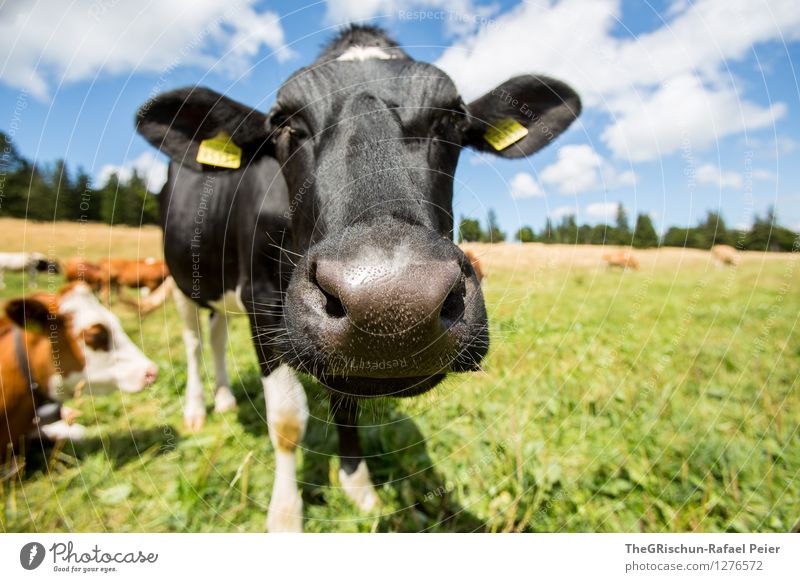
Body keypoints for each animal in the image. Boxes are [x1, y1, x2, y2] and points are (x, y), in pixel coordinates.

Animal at [134, 25, 580, 532]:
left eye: (452, 120)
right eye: (284, 123)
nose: (393, 304)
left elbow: (345, 403)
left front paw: (358, 484)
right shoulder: (262, 301)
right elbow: (286, 421)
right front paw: (285, 515)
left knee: (217, 335)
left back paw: (226, 399)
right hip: (183, 279)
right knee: (194, 341)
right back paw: (196, 409)